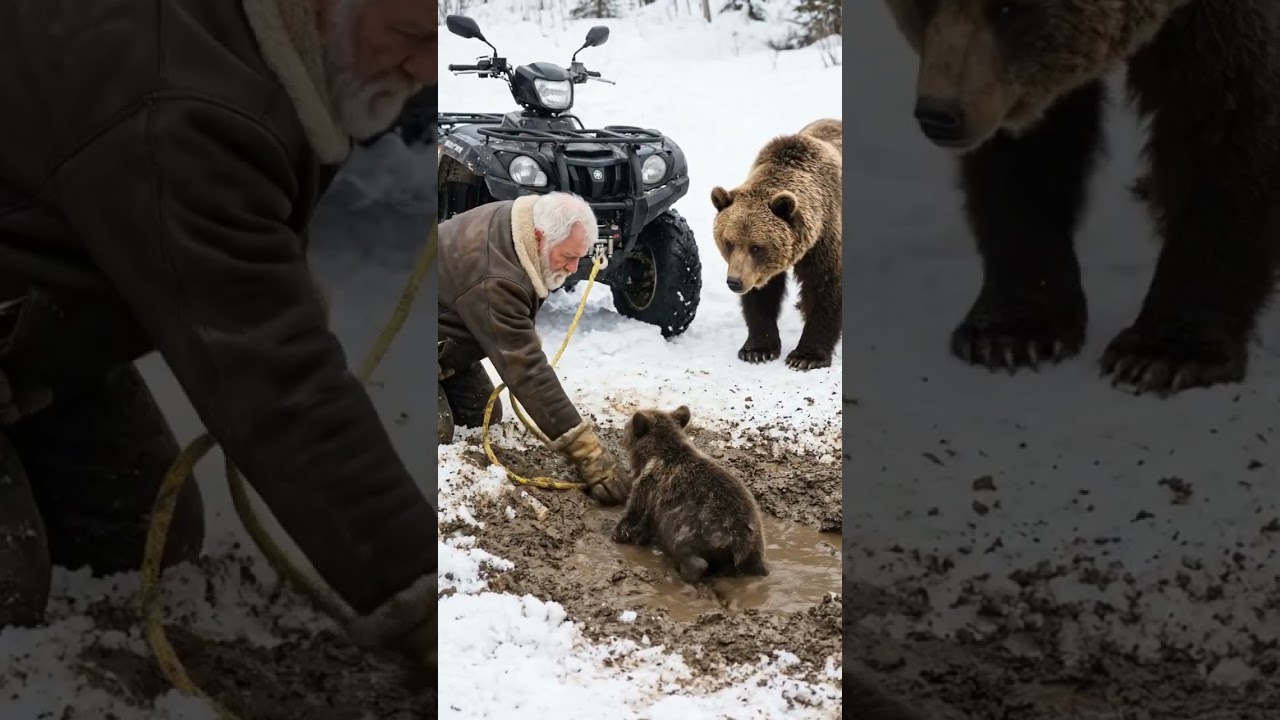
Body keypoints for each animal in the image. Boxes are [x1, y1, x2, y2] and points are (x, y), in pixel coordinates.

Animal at [609, 405, 769, 583]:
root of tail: (741, 540)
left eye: (626, 427)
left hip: (693, 528)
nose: (621, 436)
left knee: (689, 555)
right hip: (755, 542)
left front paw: (618, 533)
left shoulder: (649, 485)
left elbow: (634, 512)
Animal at [710, 118, 843, 371]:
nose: (734, 282)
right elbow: (763, 296)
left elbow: (827, 287)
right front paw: (758, 349)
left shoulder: (826, 238)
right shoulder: (759, 269)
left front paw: (806, 356)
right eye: (729, 243)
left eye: (756, 246)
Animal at [880, 0, 1280, 396]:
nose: (940, 114)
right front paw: (1010, 334)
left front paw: (1163, 354)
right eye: (922, 4)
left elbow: (1224, 126)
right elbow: (1031, 156)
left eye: (1009, 9)